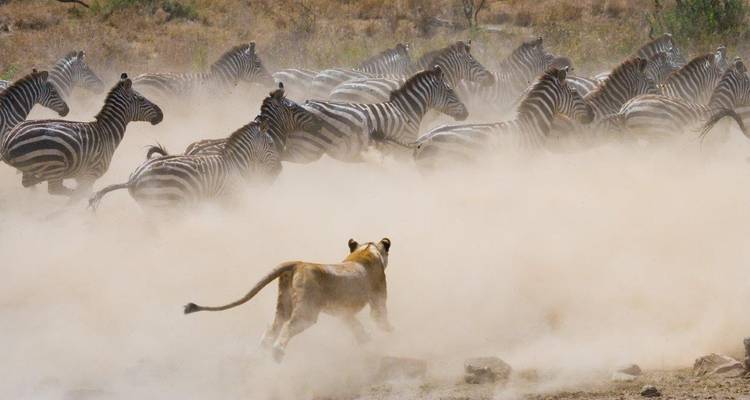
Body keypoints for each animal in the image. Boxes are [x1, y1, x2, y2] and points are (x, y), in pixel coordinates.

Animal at [0, 74, 163, 197]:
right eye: (141, 99)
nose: (161, 114)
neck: (107, 131)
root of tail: (9, 140)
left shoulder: (82, 177)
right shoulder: (91, 175)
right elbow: (82, 193)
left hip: (34, 167)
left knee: (28, 182)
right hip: (54, 164)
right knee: (55, 189)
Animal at [283, 65, 469, 163]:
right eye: (450, 90)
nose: (466, 113)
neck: (406, 111)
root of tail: (304, 104)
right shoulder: (400, 150)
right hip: (306, 149)